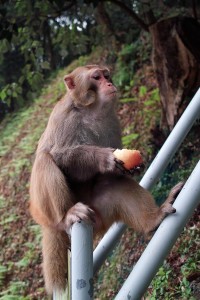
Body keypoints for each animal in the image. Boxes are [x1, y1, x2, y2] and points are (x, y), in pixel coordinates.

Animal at [28, 64, 184, 294]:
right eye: (96, 77)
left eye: (106, 75)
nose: (109, 83)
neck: (91, 110)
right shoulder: (65, 117)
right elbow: (60, 155)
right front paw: (103, 158)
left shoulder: (112, 120)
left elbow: (114, 174)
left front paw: (131, 167)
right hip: (47, 212)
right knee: (44, 161)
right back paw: (67, 214)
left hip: (99, 213)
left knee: (114, 185)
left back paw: (153, 219)